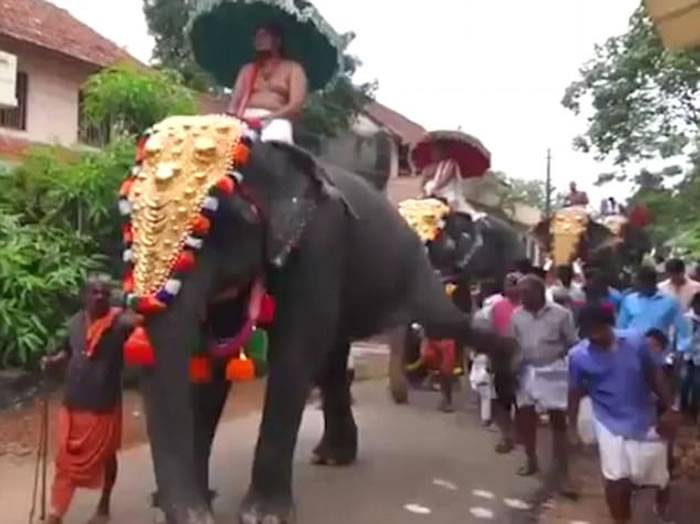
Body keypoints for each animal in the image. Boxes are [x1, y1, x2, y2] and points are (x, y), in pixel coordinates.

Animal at [119, 115, 516, 524]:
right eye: (126, 214)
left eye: (228, 220)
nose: (190, 511)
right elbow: (216, 361)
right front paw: (199, 504)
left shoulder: (321, 242)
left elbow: (295, 351)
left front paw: (263, 516)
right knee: (336, 356)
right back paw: (334, 456)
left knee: (437, 323)